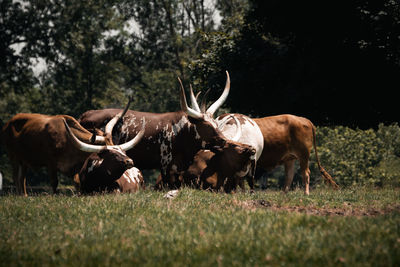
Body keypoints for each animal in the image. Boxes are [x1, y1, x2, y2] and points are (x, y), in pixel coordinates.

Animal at [77, 71, 250, 188]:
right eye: (206, 126)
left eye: (215, 122)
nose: (223, 140)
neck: (181, 132)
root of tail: (86, 114)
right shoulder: (167, 166)